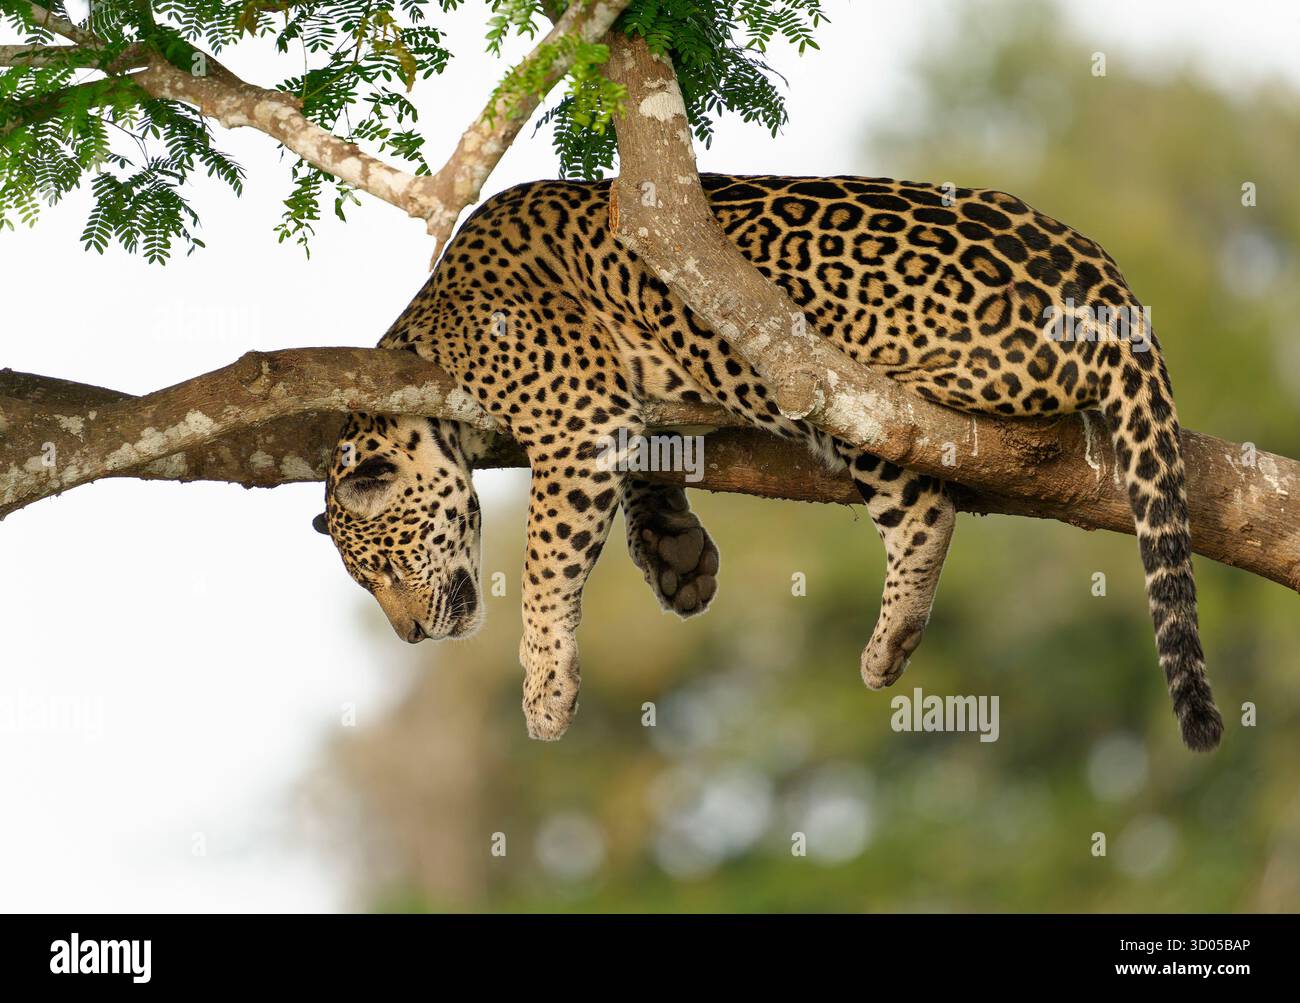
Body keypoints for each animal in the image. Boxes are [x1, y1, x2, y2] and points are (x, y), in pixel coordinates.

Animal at [313, 173, 1223, 751]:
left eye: (383, 569)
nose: (410, 635)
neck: (417, 347)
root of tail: (1106, 280)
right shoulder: (625, 412)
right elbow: (647, 473)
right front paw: (676, 556)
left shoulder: (578, 422)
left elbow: (545, 567)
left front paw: (545, 687)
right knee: (923, 513)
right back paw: (891, 643)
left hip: (856, 379)